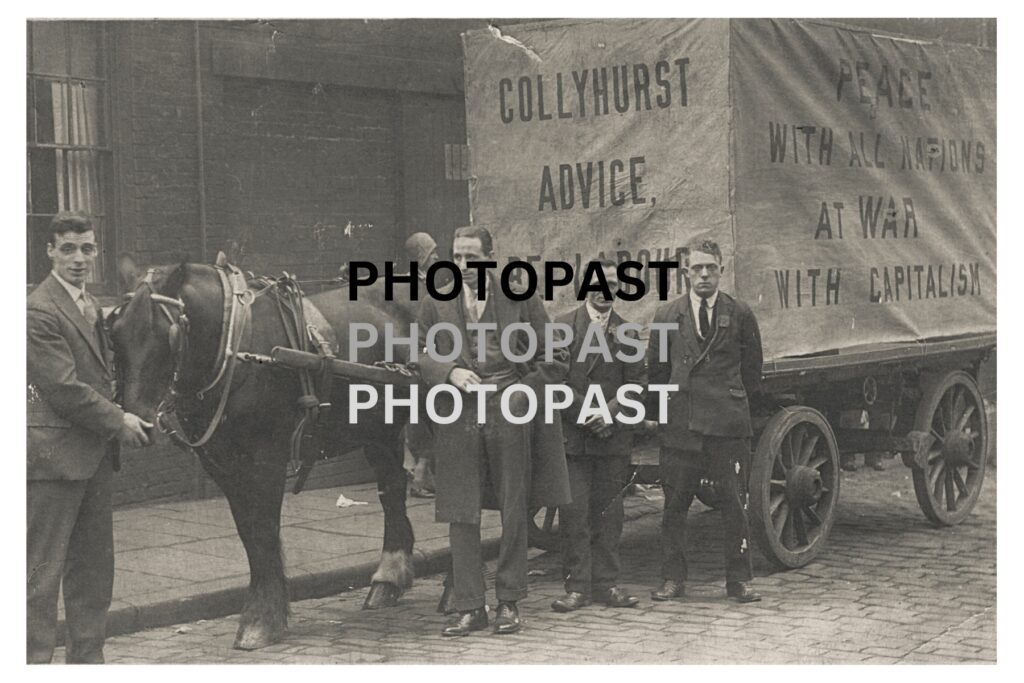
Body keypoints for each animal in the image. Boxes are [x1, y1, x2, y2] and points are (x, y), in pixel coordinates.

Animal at [110, 259, 417, 651]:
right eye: (115, 333)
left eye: (169, 335)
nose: (136, 423)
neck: (236, 348)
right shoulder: (224, 466)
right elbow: (248, 534)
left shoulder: (266, 459)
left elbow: (264, 530)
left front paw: (261, 620)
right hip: (379, 430)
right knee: (392, 490)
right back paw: (388, 581)